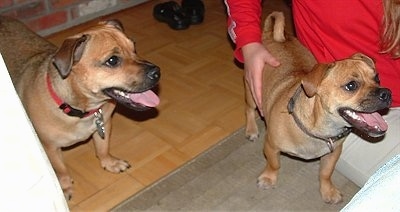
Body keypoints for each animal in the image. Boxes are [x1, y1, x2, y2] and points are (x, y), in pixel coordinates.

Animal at [0, 15, 159, 200]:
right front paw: (65, 187)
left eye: (134, 47)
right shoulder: (50, 147)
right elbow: (60, 170)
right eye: (112, 60)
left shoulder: (104, 125)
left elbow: (103, 148)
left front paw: (109, 163)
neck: (80, 110)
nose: (157, 72)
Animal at [245, 12, 392, 204]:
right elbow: (274, 164)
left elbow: (325, 173)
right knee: (249, 110)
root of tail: (272, 36)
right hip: (251, 92)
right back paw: (251, 129)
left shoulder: (333, 153)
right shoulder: (271, 146)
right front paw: (269, 178)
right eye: (351, 85)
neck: (321, 129)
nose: (387, 94)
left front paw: (328, 191)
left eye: (377, 78)